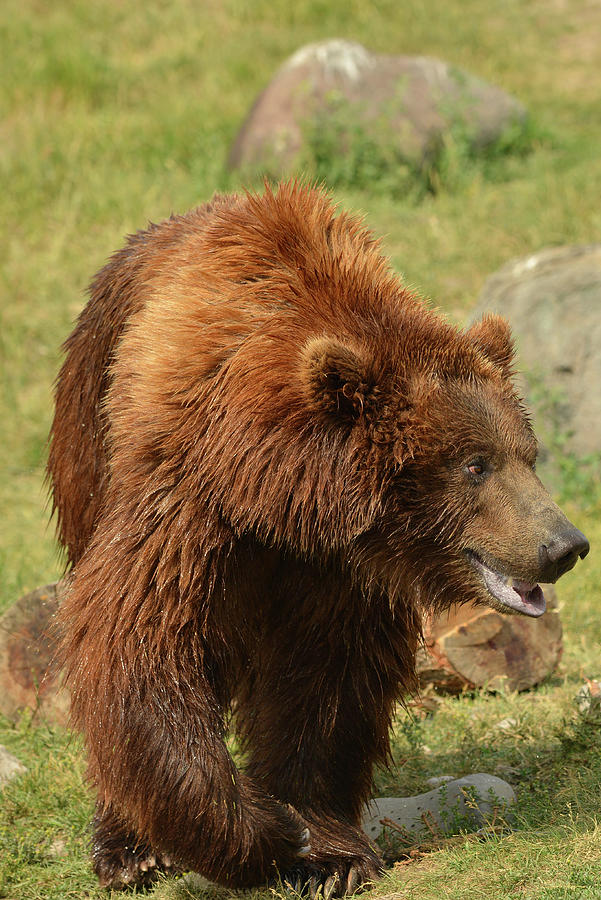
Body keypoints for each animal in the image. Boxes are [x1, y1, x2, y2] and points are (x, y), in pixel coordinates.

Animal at [48, 179, 584, 888]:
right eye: (476, 463)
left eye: (529, 453)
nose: (564, 544)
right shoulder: (186, 501)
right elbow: (140, 644)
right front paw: (267, 832)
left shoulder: (337, 568)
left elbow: (324, 681)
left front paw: (326, 849)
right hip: (87, 438)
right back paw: (128, 849)